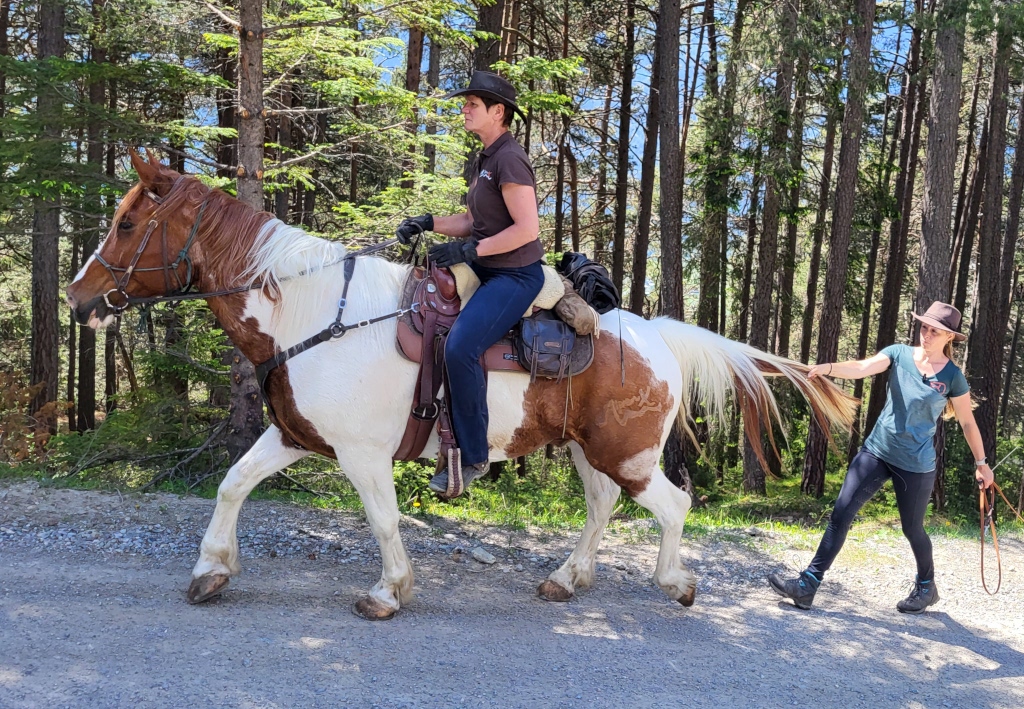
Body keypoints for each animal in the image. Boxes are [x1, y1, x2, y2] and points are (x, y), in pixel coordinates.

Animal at [68, 150, 860, 618]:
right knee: (602, 508)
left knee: (671, 505)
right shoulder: (296, 436)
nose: (78, 299)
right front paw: (212, 570)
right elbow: (234, 484)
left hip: (626, 453)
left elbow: (384, 522)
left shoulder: (362, 455)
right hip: (587, 451)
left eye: (128, 221)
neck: (315, 312)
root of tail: (658, 334)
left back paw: (676, 582)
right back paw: (567, 578)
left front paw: (389, 591)